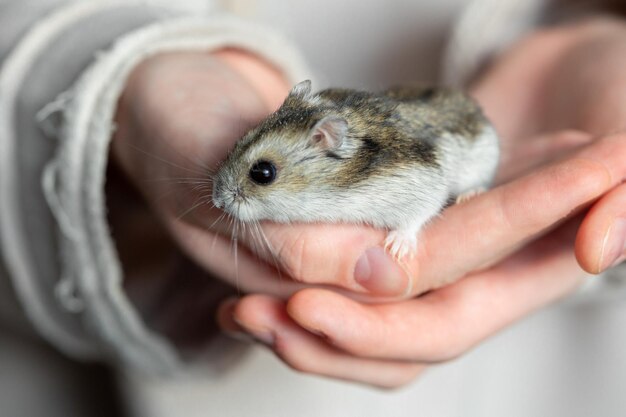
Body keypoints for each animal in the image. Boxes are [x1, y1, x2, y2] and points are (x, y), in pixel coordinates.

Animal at [213, 79, 498, 258]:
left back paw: (469, 195)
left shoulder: (422, 184)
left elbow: (418, 215)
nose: (216, 200)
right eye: (239, 139)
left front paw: (396, 249)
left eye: (263, 173)